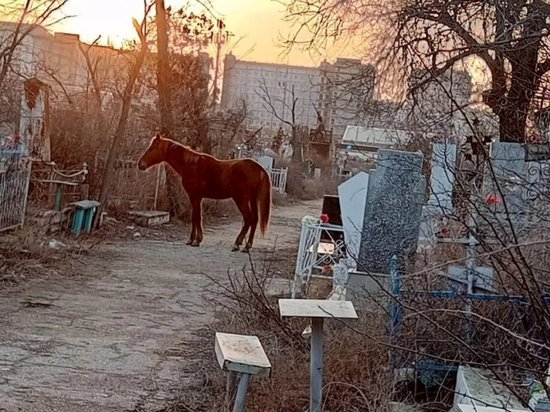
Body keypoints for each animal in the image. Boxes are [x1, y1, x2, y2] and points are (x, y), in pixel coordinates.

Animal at [138, 134, 272, 253]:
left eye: (151, 148)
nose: (140, 164)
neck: (191, 165)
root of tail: (259, 168)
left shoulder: (195, 197)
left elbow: (197, 217)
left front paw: (196, 240)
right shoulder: (196, 198)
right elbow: (195, 217)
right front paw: (193, 239)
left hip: (241, 199)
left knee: (249, 218)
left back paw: (237, 244)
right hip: (252, 200)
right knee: (254, 219)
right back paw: (247, 246)